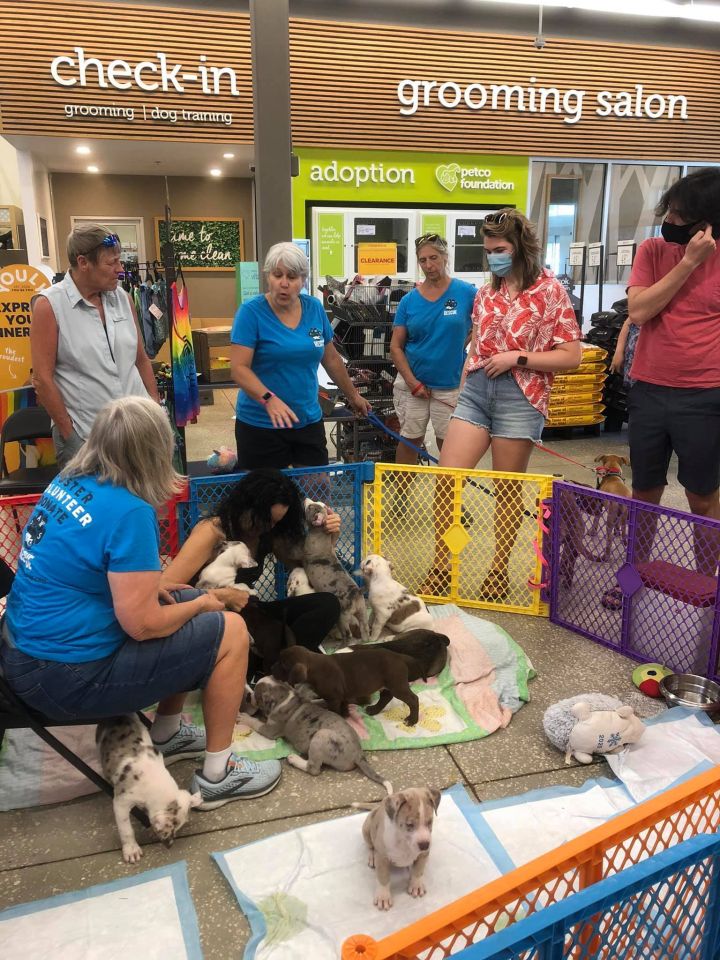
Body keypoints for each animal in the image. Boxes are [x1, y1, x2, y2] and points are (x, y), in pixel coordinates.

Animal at [242, 672, 390, 792]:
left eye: (256, 694)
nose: (248, 696)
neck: (285, 697)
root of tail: (359, 755)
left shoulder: (270, 730)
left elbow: (256, 723)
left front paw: (244, 717)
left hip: (321, 736)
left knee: (313, 769)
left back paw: (294, 759)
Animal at [272, 640, 420, 724]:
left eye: (282, 665)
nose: (271, 669)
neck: (314, 665)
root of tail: (399, 656)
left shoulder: (333, 699)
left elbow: (334, 711)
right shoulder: (341, 695)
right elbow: (343, 705)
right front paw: (345, 715)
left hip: (397, 684)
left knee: (413, 699)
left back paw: (412, 720)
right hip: (387, 684)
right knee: (386, 697)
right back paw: (374, 709)